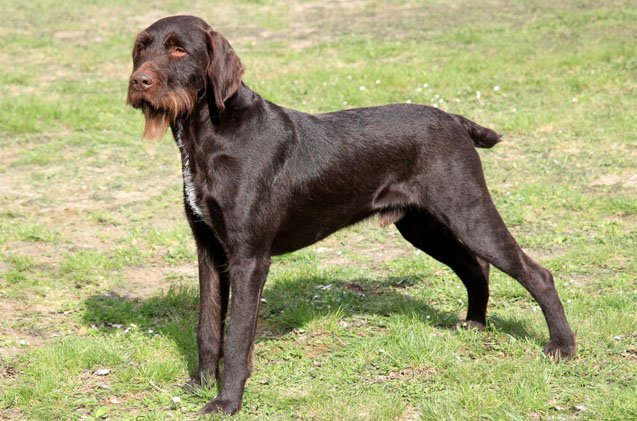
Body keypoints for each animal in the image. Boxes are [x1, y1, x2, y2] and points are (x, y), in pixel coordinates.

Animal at [125, 15, 576, 414]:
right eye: (141, 48)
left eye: (179, 49)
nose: (138, 82)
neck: (209, 134)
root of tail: (454, 120)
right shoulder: (210, 250)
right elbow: (208, 327)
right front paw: (200, 384)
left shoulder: (249, 258)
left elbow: (236, 340)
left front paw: (226, 402)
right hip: (424, 226)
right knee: (476, 267)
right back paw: (475, 324)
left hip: (467, 210)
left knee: (535, 273)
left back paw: (563, 346)